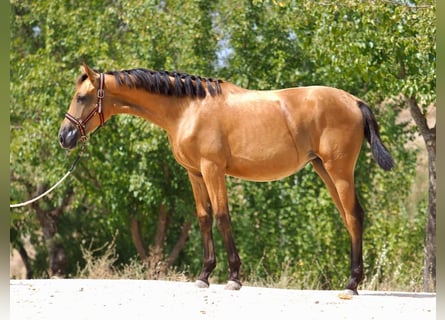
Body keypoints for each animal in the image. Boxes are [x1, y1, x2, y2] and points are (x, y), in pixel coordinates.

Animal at [58, 63, 392, 296]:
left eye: (82, 97)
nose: (65, 136)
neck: (188, 109)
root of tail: (355, 101)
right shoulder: (194, 173)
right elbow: (204, 218)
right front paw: (204, 276)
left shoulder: (212, 169)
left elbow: (222, 217)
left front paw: (233, 278)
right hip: (324, 169)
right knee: (349, 217)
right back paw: (352, 280)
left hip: (339, 170)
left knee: (354, 215)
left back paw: (351, 284)